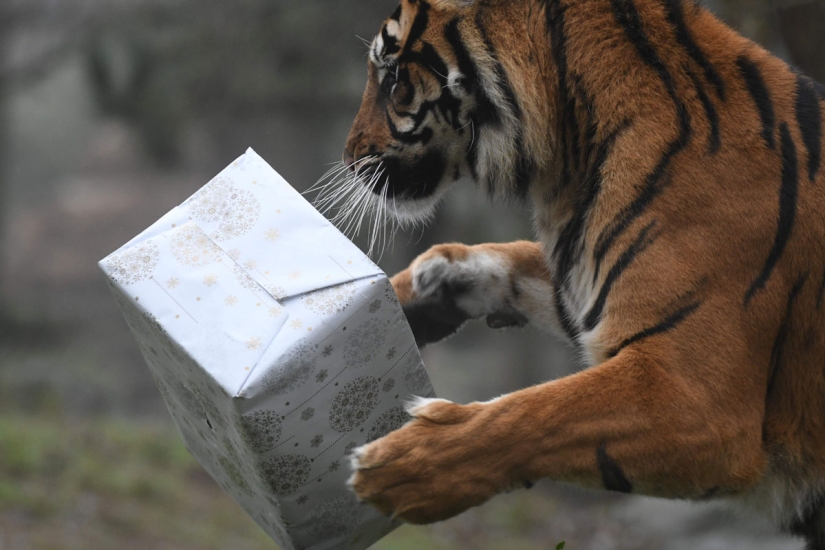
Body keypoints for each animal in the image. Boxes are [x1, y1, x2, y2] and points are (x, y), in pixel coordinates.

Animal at [334, 0, 824, 548]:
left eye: (395, 80)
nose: (349, 159)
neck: (569, 160)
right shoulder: (584, 282)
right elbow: (512, 261)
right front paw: (422, 289)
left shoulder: (696, 398)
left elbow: (537, 411)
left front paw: (402, 468)